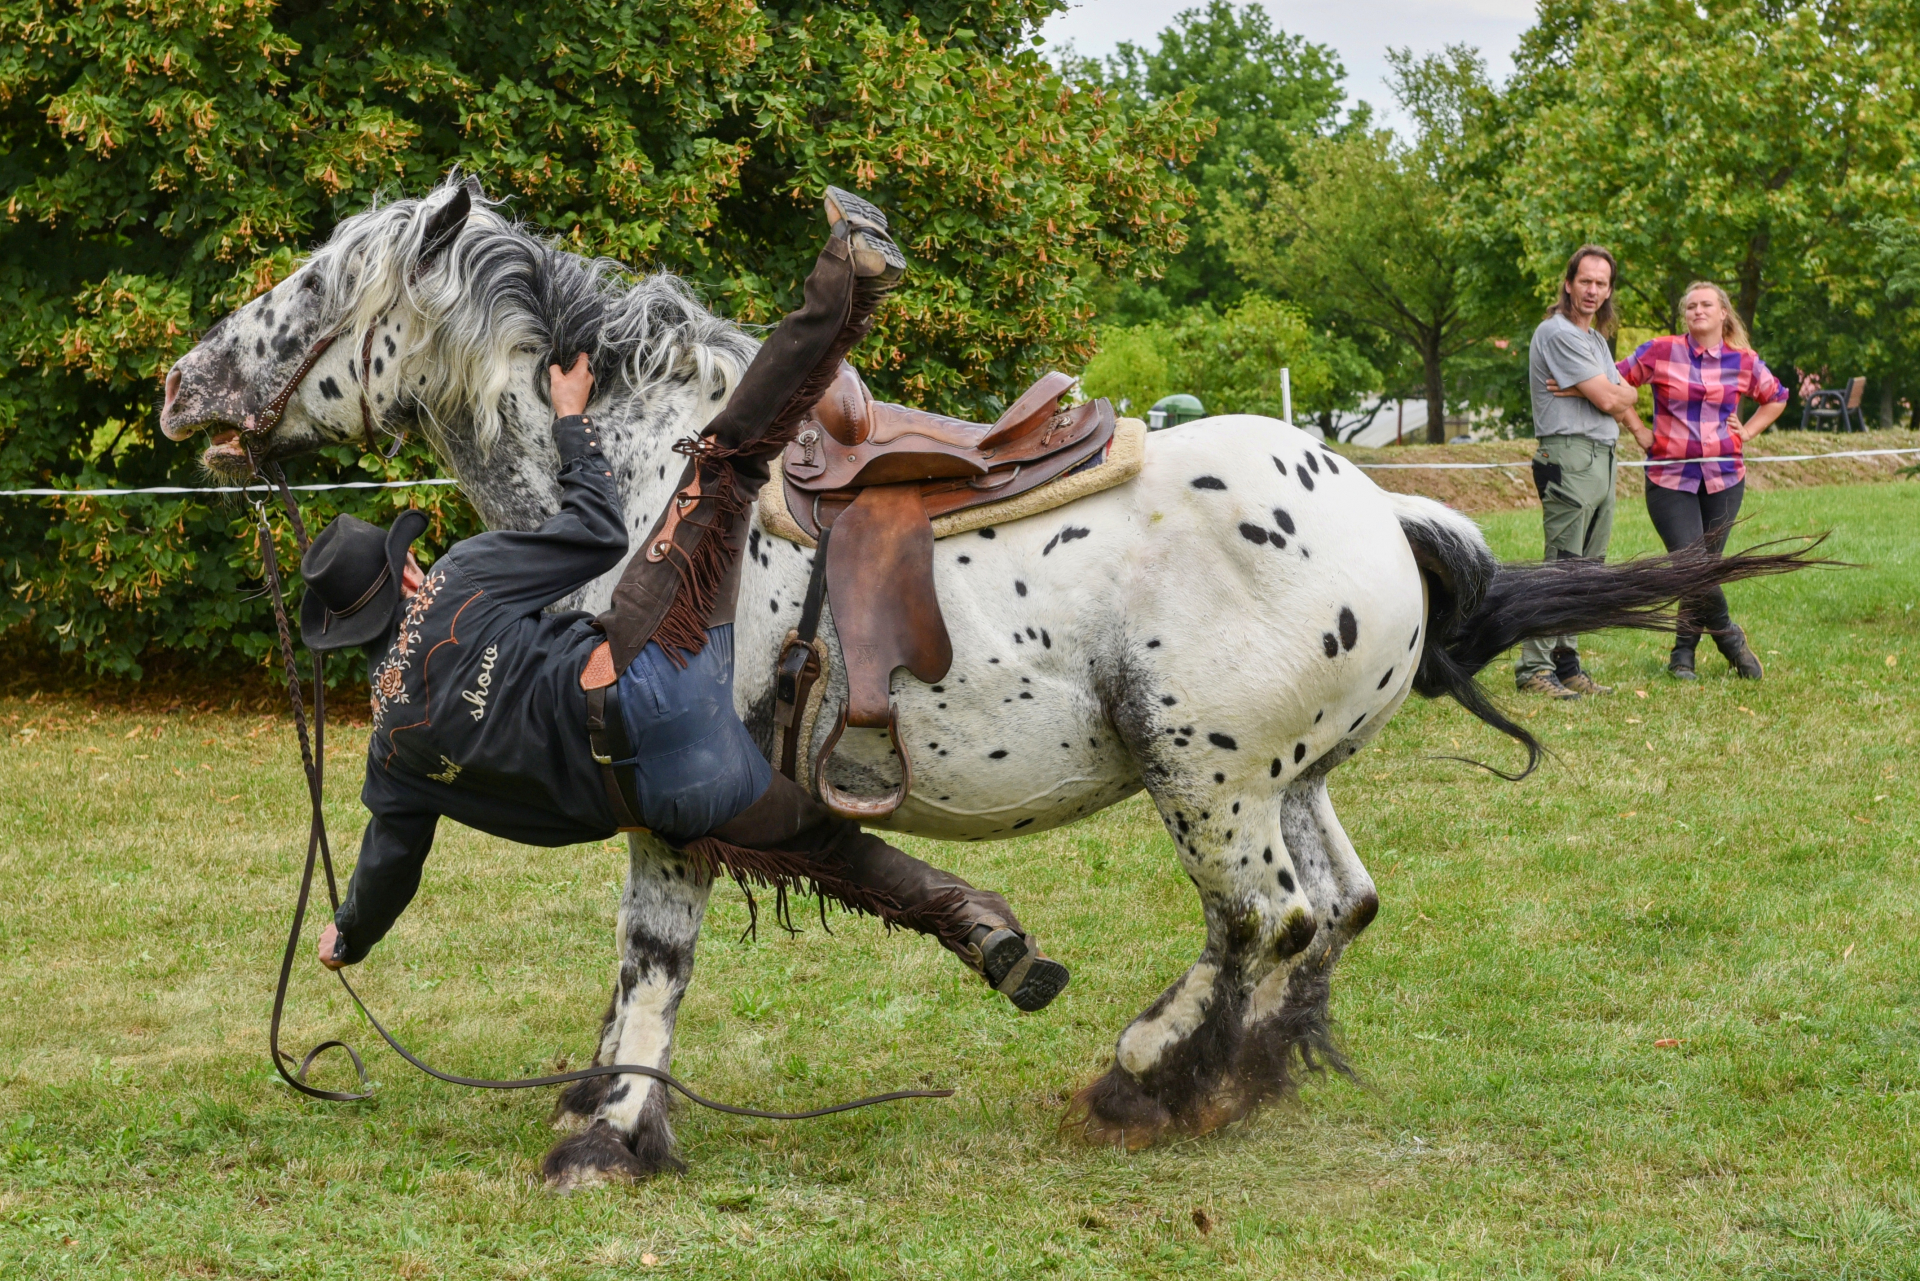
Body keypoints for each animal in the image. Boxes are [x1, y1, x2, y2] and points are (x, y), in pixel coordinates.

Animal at [157, 180, 1804, 1183]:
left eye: (319, 277)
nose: (180, 387)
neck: (641, 484)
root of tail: (1381, 513)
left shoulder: (672, 795)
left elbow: (652, 962)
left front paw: (605, 1134)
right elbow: (666, 955)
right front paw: (613, 1121)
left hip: (1204, 778)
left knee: (1265, 917)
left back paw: (1148, 1073)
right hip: (1290, 779)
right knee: (1336, 909)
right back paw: (1241, 1070)